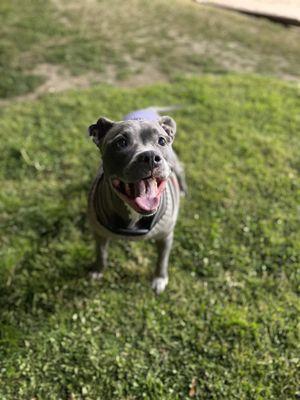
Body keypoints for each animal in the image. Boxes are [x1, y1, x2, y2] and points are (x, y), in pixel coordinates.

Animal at [86, 106, 186, 294]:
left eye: (161, 141)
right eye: (121, 143)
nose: (150, 157)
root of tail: (148, 109)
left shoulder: (166, 236)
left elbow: (162, 259)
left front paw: (160, 278)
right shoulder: (99, 233)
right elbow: (101, 253)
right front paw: (97, 270)